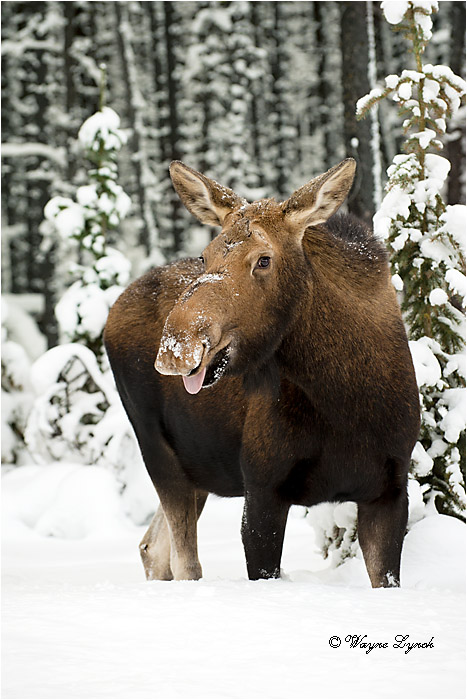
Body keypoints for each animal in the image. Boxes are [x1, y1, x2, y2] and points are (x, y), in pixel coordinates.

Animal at [104, 158, 420, 588]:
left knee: (153, 547)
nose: (176, 346)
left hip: (198, 467)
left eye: (263, 259)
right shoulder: (262, 487)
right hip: (158, 449)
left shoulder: (389, 489)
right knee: (185, 563)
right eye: (204, 256)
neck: (344, 400)